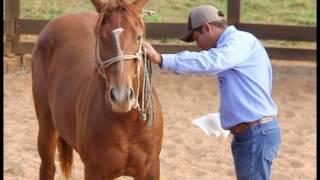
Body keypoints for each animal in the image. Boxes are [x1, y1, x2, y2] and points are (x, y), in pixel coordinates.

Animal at [31, 0, 164, 179]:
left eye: (138, 37)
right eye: (101, 38)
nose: (121, 97)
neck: (128, 123)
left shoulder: (151, 169)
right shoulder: (95, 171)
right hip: (47, 128)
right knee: (48, 167)